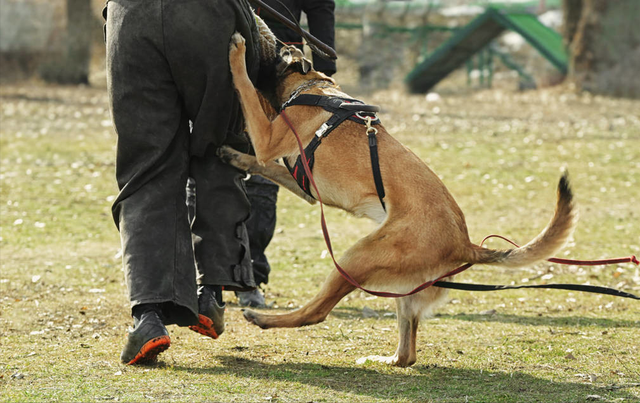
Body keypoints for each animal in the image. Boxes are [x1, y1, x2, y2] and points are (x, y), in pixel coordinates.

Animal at [220, 33, 576, 368]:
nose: (264, 39)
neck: (312, 87)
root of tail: (465, 244)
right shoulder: (301, 183)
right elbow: (265, 165)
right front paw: (236, 157)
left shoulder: (268, 138)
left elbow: (247, 90)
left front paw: (236, 55)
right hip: (401, 288)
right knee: (408, 352)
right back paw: (386, 359)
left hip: (357, 257)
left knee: (317, 312)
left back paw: (263, 319)